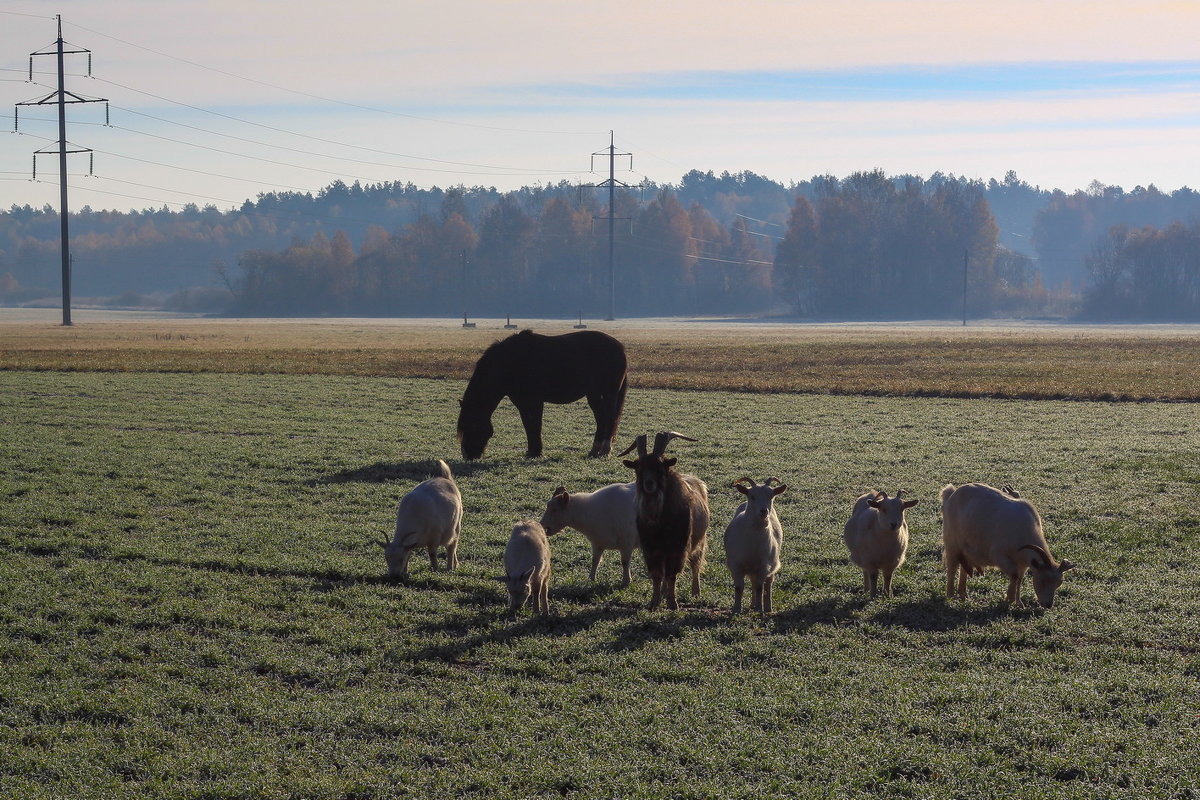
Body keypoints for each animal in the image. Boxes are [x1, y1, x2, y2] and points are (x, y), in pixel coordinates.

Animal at [456, 328, 628, 460]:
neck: (511, 362)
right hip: (593, 394)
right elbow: (528, 425)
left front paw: (536, 452)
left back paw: (605, 450)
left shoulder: (535, 401)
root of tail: (620, 347)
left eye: (473, 425)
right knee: (601, 419)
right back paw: (595, 450)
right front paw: (532, 451)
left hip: (609, 393)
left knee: (610, 418)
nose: (467, 455)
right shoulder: (522, 402)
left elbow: (535, 425)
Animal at [624, 434, 705, 609]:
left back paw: (696, 592)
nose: (649, 484)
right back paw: (663, 592)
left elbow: (672, 575)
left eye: (660, 467)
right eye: (638, 468)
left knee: (695, 564)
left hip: (699, 541)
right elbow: (657, 575)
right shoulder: (651, 549)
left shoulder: (678, 547)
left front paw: (673, 603)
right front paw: (654, 602)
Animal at [720, 479, 787, 618]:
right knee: (753, 582)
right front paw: (736, 609)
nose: (764, 511)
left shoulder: (763, 567)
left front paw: (759, 609)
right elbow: (739, 588)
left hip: (772, 563)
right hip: (751, 569)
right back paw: (752, 604)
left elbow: (760, 588)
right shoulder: (736, 566)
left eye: (771, 496)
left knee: (767, 584)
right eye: (752, 496)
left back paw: (767, 607)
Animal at [940, 484, 1075, 609]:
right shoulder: (999, 555)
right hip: (952, 545)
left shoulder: (1023, 563)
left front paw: (1019, 602)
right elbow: (1015, 575)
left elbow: (1020, 578)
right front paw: (1009, 599)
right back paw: (950, 596)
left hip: (967, 551)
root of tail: (950, 494)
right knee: (952, 568)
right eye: (1042, 580)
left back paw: (963, 595)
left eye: (1059, 583)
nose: (1048, 605)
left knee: (964, 568)